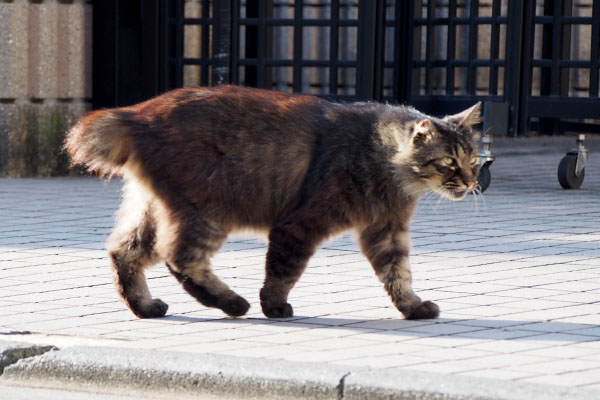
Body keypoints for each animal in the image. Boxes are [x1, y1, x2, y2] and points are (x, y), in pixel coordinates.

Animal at [63, 85, 480, 322]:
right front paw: (274, 307)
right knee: (179, 257)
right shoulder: (299, 226)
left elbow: (399, 276)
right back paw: (233, 304)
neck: (382, 158)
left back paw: (147, 308)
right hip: (207, 211)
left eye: (473, 158)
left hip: (154, 208)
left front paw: (413, 308)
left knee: (125, 252)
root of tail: (136, 113)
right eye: (448, 161)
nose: (471, 182)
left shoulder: (386, 231)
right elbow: (282, 273)